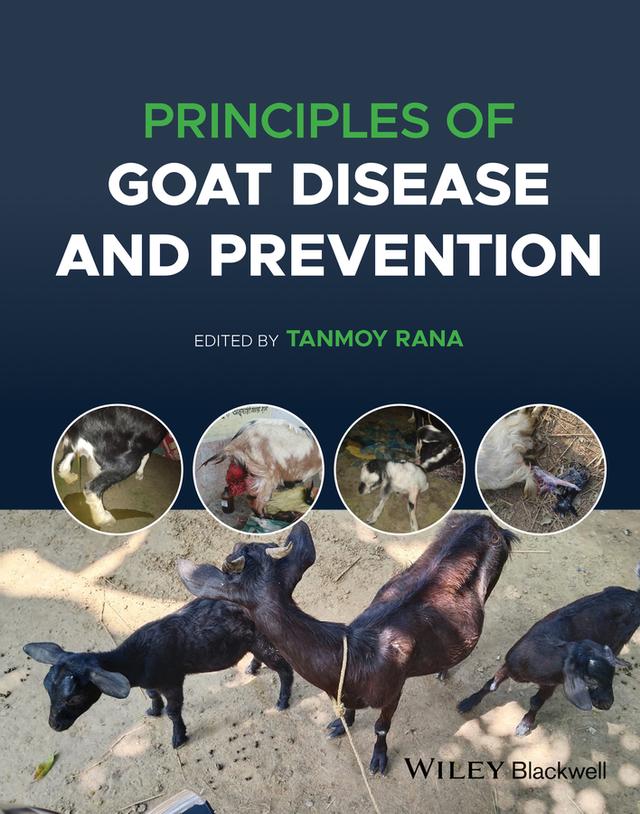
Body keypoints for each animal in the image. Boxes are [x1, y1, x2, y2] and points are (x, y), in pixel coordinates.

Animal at [24, 598, 293, 749]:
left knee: (285, 668)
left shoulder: (171, 680)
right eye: (47, 689)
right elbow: (152, 695)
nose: (54, 725)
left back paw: (282, 701)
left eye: (75, 697)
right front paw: (153, 711)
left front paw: (178, 738)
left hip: (263, 639)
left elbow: (174, 711)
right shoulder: (151, 681)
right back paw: (252, 668)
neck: (137, 661)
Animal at [178, 514, 515, 774]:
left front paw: (378, 760)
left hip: (495, 575)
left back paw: (444, 670)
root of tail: (487, 520)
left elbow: (381, 726)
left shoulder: (393, 688)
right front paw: (340, 726)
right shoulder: (339, 691)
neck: (351, 658)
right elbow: (346, 711)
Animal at [457, 568, 640, 735]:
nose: (607, 704)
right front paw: (467, 703)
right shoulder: (509, 665)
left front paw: (525, 724)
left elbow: (536, 702)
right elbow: (491, 685)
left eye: (611, 676)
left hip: (620, 641)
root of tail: (635, 595)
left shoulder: (550, 684)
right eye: (590, 679)